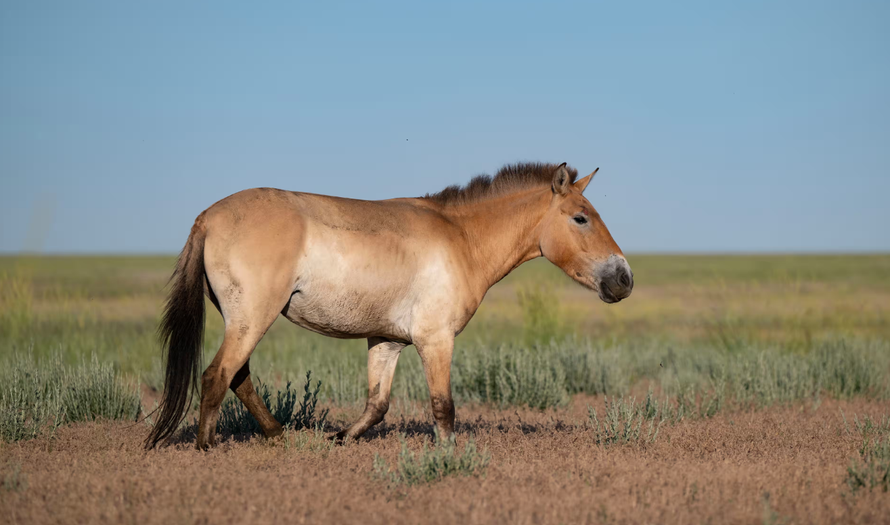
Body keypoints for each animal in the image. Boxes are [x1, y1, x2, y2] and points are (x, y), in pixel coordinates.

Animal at [146, 162, 632, 448]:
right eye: (580, 218)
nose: (624, 279)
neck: (461, 238)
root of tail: (207, 217)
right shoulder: (435, 339)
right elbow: (443, 407)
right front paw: (450, 457)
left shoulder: (387, 340)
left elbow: (376, 405)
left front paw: (339, 438)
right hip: (252, 319)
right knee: (218, 376)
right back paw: (208, 446)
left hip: (244, 321)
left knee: (238, 377)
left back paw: (279, 434)